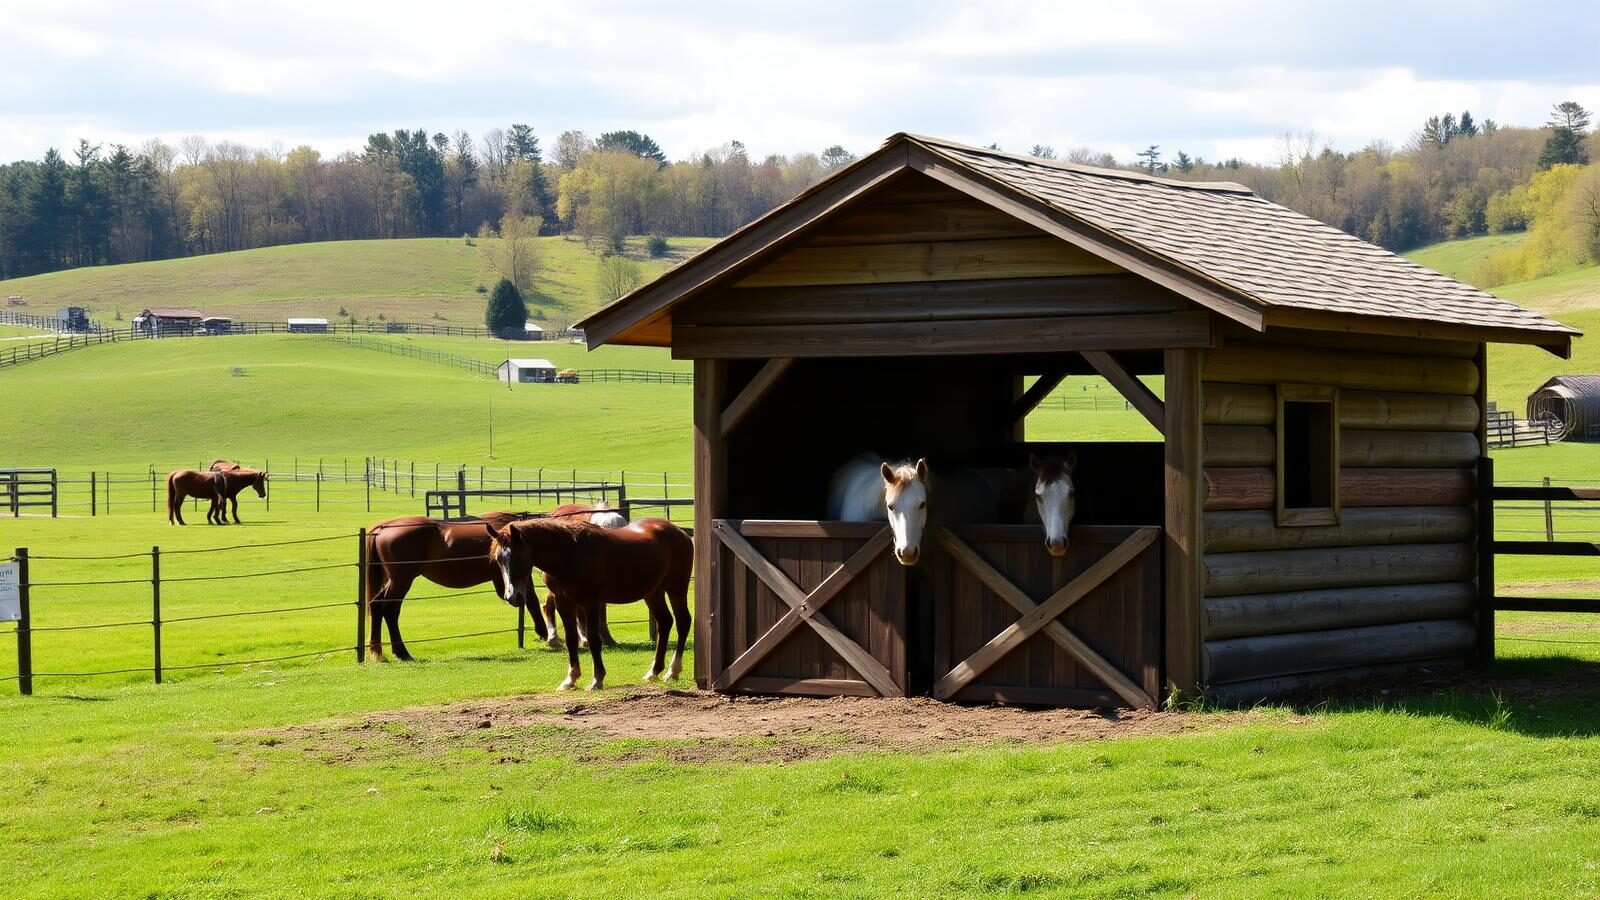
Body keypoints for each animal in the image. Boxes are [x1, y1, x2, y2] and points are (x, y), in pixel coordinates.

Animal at [363, 511, 537, 661]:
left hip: (395, 581)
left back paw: (377, 651)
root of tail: (383, 527)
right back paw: (401, 652)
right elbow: (532, 600)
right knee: (389, 610)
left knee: (376, 605)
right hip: (401, 581)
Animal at [489, 516, 693, 690]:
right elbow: (571, 638)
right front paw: (570, 679)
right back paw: (654, 671)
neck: (569, 553)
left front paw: (597, 679)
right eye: (499, 559)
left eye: (518, 557)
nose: (512, 596)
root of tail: (679, 532)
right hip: (653, 592)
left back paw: (673, 671)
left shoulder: (591, 602)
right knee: (664, 622)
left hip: (676, 587)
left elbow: (594, 638)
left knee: (683, 621)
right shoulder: (563, 602)